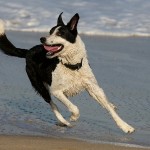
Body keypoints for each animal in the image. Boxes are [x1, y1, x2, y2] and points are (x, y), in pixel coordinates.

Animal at [0, 12, 135, 132]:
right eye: (50, 32)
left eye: (60, 33)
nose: (42, 38)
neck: (72, 66)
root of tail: (28, 51)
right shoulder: (56, 91)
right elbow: (74, 108)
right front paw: (73, 117)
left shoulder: (93, 88)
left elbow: (109, 109)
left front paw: (125, 126)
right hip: (40, 86)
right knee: (52, 105)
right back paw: (64, 122)